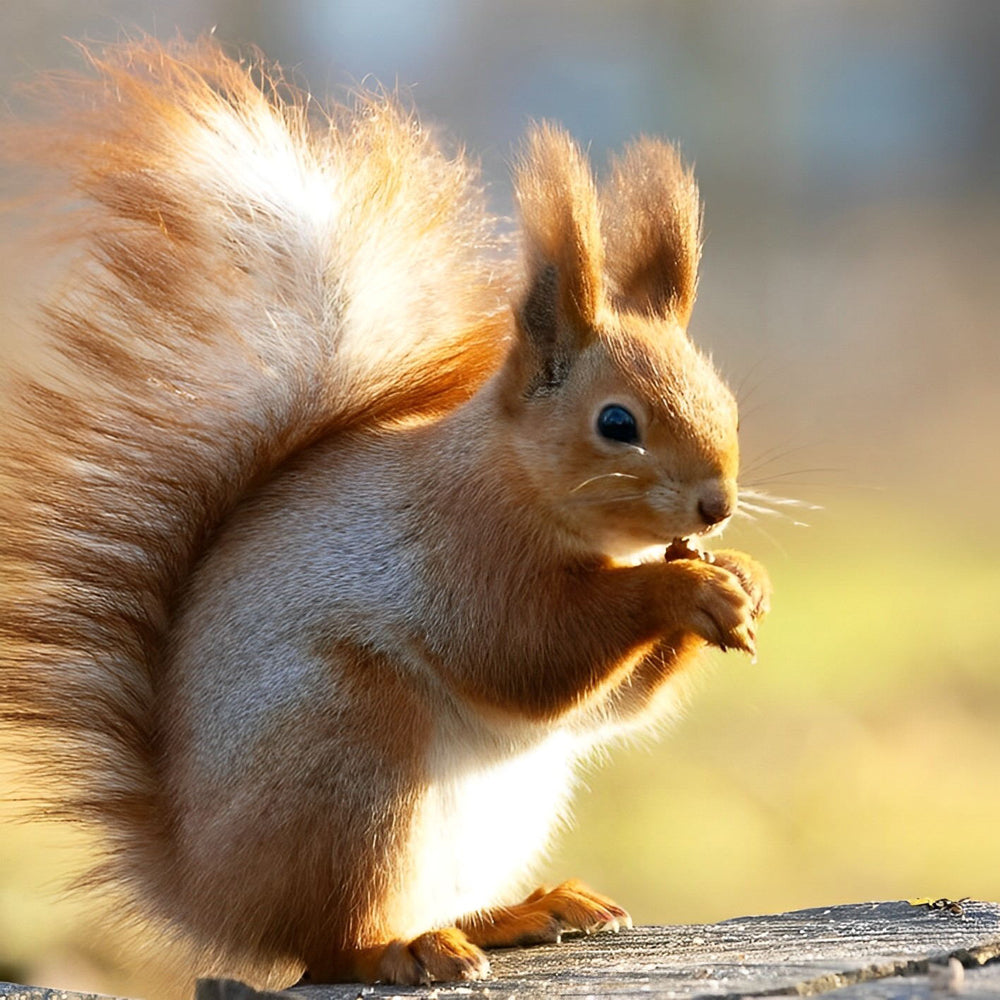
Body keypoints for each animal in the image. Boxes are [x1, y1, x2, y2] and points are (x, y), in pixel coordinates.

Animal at [0, 37, 770, 990]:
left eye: (724, 399)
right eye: (616, 423)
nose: (716, 504)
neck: (511, 480)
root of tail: (206, 889)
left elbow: (609, 705)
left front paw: (741, 576)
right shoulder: (460, 553)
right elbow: (528, 654)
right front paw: (688, 590)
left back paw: (522, 911)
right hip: (350, 749)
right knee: (329, 943)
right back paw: (404, 947)